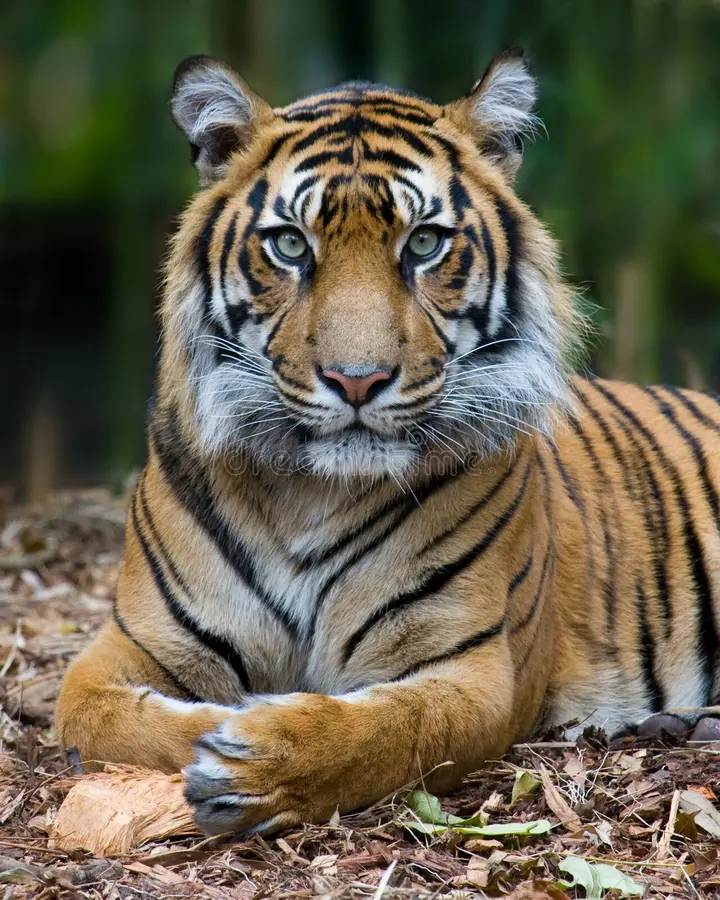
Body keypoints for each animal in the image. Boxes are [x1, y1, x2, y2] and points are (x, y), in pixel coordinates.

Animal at [56, 48, 720, 837]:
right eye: (289, 245)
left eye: (425, 243)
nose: (358, 380)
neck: (309, 495)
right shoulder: (125, 649)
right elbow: (122, 725)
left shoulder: (472, 665)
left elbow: (385, 731)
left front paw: (258, 760)